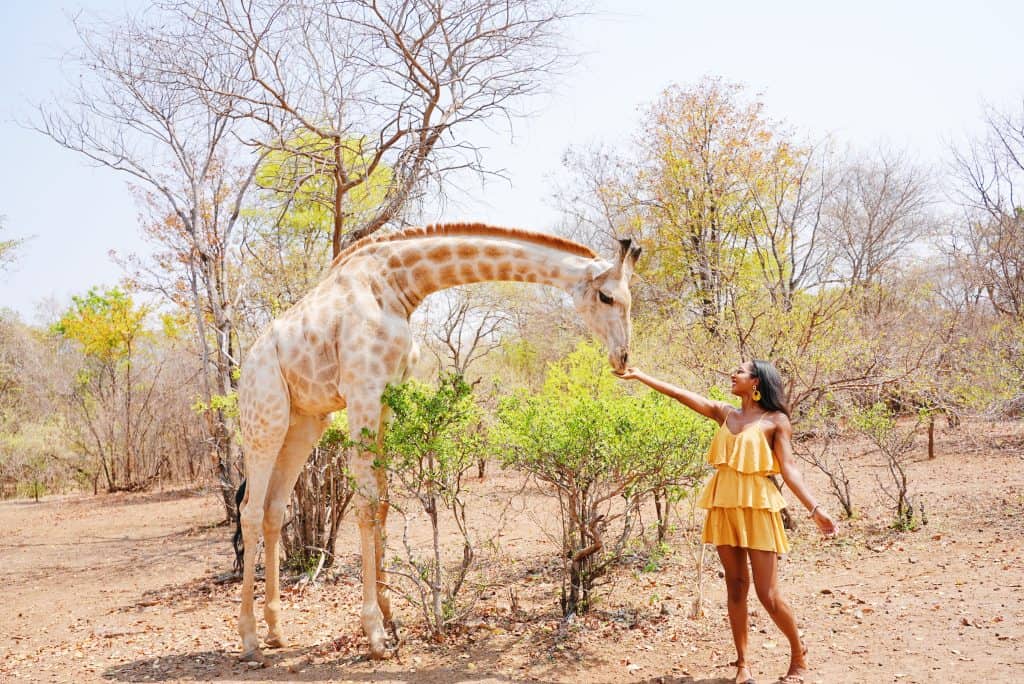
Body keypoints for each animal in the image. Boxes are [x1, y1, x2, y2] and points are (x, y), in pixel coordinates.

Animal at [235, 223, 641, 662]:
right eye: (607, 296)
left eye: (630, 298)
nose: (622, 358)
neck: (395, 284)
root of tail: (246, 365)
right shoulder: (362, 392)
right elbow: (364, 506)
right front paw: (374, 634)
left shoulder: (387, 396)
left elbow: (381, 504)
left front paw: (391, 617)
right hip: (265, 416)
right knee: (250, 510)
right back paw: (249, 638)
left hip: (305, 421)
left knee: (274, 509)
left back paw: (276, 631)